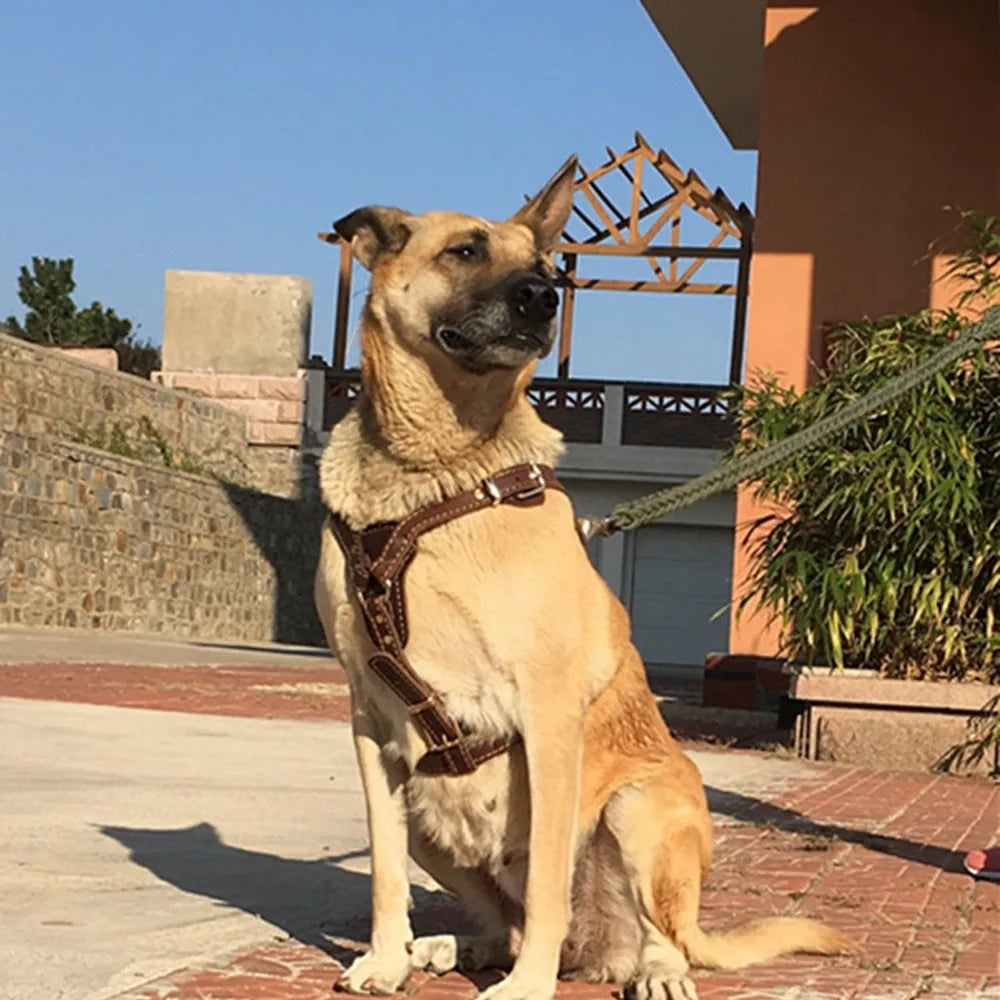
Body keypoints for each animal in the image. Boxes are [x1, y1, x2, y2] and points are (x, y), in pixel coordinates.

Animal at [314, 158, 852, 1000]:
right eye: (464, 251)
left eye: (543, 265)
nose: (543, 298)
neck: (433, 478)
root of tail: (598, 954)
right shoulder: (370, 723)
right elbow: (383, 872)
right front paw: (389, 958)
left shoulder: (548, 714)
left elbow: (545, 884)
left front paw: (526, 987)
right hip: (430, 815)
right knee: (497, 917)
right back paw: (452, 947)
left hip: (639, 809)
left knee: (659, 936)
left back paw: (646, 970)